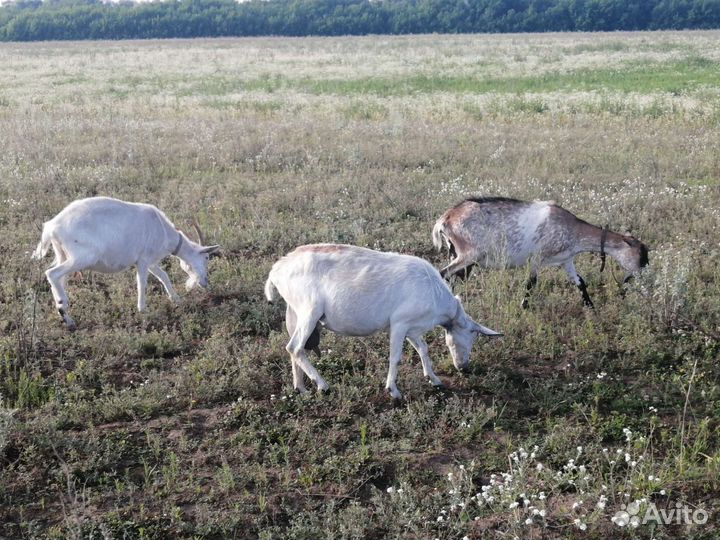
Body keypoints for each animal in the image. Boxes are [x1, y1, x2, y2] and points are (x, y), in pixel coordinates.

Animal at [32, 196, 220, 329]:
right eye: (207, 257)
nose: (205, 282)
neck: (163, 230)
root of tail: (52, 227)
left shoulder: (151, 262)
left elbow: (164, 276)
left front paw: (177, 299)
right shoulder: (143, 260)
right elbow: (142, 283)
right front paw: (143, 310)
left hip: (62, 254)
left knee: (59, 279)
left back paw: (65, 315)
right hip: (82, 257)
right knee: (52, 274)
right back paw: (65, 312)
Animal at [264, 243, 501, 399]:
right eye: (471, 335)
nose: (463, 366)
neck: (436, 295)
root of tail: (276, 271)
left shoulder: (412, 328)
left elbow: (423, 349)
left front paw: (434, 379)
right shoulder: (399, 324)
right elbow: (395, 357)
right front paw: (393, 391)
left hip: (295, 312)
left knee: (295, 349)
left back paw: (301, 388)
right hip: (310, 311)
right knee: (295, 347)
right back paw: (323, 385)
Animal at [432, 197, 649, 308]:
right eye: (641, 257)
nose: (637, 278)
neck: (573, 229)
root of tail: (446, 218)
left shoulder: (566, 259)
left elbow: (580, 281)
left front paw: (590, 306)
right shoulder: (537, 258)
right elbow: (531, 283)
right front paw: (523, 307)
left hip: (458, 254)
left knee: (454, 277)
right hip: (469, 253)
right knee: (443, 274)